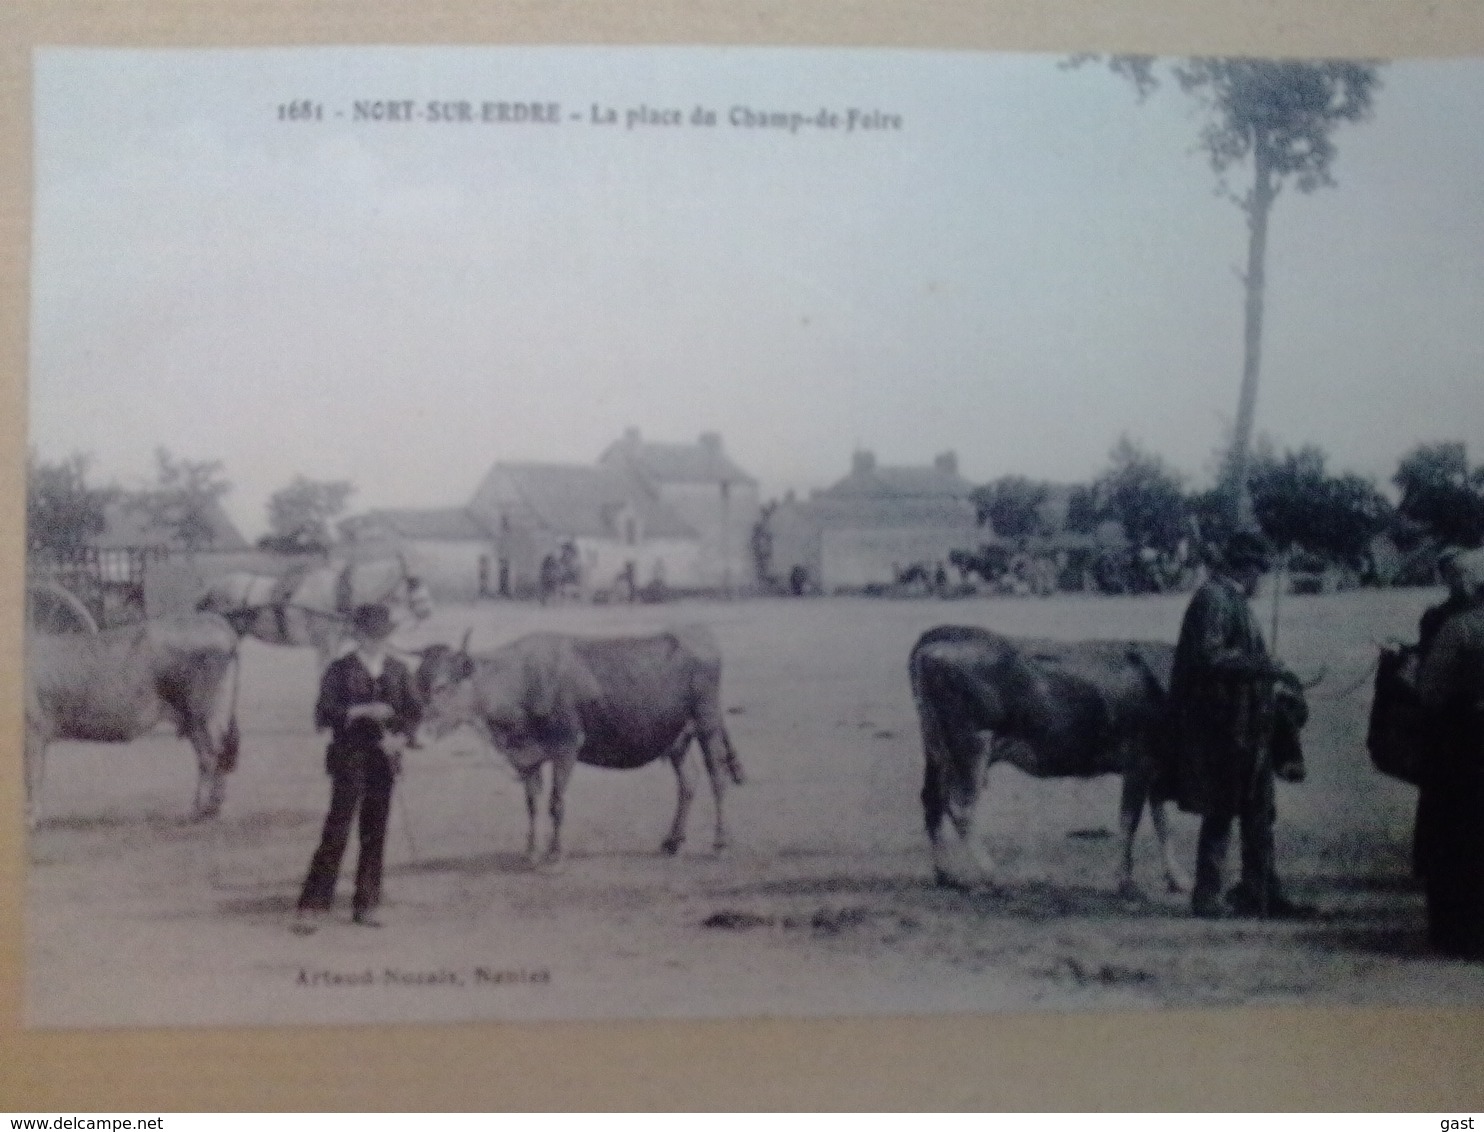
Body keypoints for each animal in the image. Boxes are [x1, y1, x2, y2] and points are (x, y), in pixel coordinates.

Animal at [24, 614, 243, 830]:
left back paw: (200, 811)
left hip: (201, 715)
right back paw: (210, 809)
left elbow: (32, 776)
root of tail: (214, 621)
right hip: (197, 720)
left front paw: (32, 819)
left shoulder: (34, 728)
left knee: (210, 757)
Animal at [415, 623, 742, 860]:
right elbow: (532, 804)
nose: (418, 735)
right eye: (420, 685)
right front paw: (531, 851)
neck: (521, 680)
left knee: (718, 778)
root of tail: (696, 633)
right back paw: (673, 841)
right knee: (688, 781)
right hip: (677, 737)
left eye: (442, 686)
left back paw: (721, 843)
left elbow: (556, 802)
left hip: (707, 725)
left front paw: (555, 853)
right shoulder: (527, 757)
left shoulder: (566, 747)